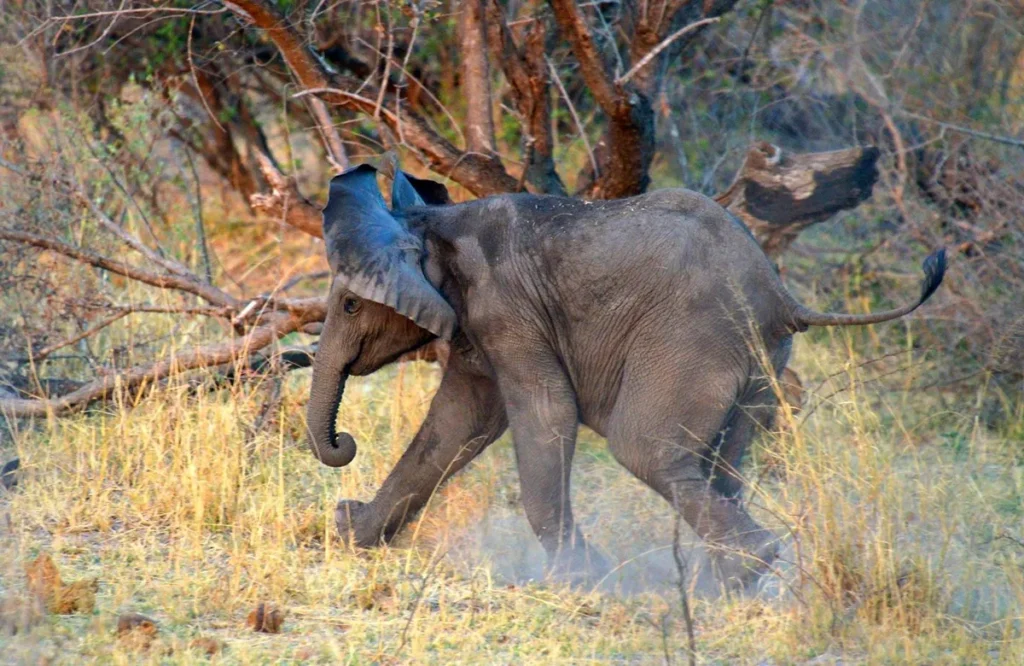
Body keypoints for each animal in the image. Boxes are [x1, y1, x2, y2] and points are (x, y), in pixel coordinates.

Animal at [306, 163, 946, 588]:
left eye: (350, 306)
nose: (344, 442)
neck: (432, 219)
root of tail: (783, 297)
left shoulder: (505, 308)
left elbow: (544, 414)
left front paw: (575, 579)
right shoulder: (476, 324)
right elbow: (455, 425)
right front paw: (351, 533)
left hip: (692, 343)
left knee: (646, 450)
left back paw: (743, 569)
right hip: (762, 362)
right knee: (720, 462)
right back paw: (725, 584)